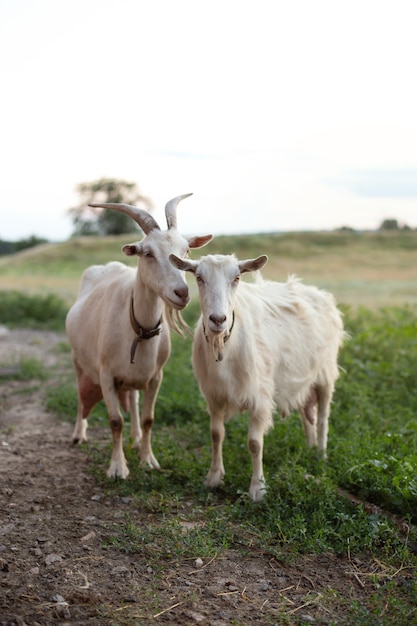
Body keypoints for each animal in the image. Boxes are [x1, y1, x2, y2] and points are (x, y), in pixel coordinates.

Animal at [66, 193, 213, 476]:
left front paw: (148, 459)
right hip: (79, 361)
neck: (138, 329)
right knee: (79, 396)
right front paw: (117, 468)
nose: (181, 293)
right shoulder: (106, 375)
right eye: (148, 253)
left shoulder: (156, 376)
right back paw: (79, 434)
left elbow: (148, 419)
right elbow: (115, 421)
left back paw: (134, 441)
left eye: (186, 251)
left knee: (133, 401)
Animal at [169, 251, 344, 500]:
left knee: (322, 418)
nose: (218, 319)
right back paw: (310, 449)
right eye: (199, 278)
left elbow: (254, 443)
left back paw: (320, 455)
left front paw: (258, 489)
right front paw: (213, 477)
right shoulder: (214, 396)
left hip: (325, 373)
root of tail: (318, 293)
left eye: (237, 278)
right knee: (306, 415)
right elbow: (216, 434)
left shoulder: (259, 396)